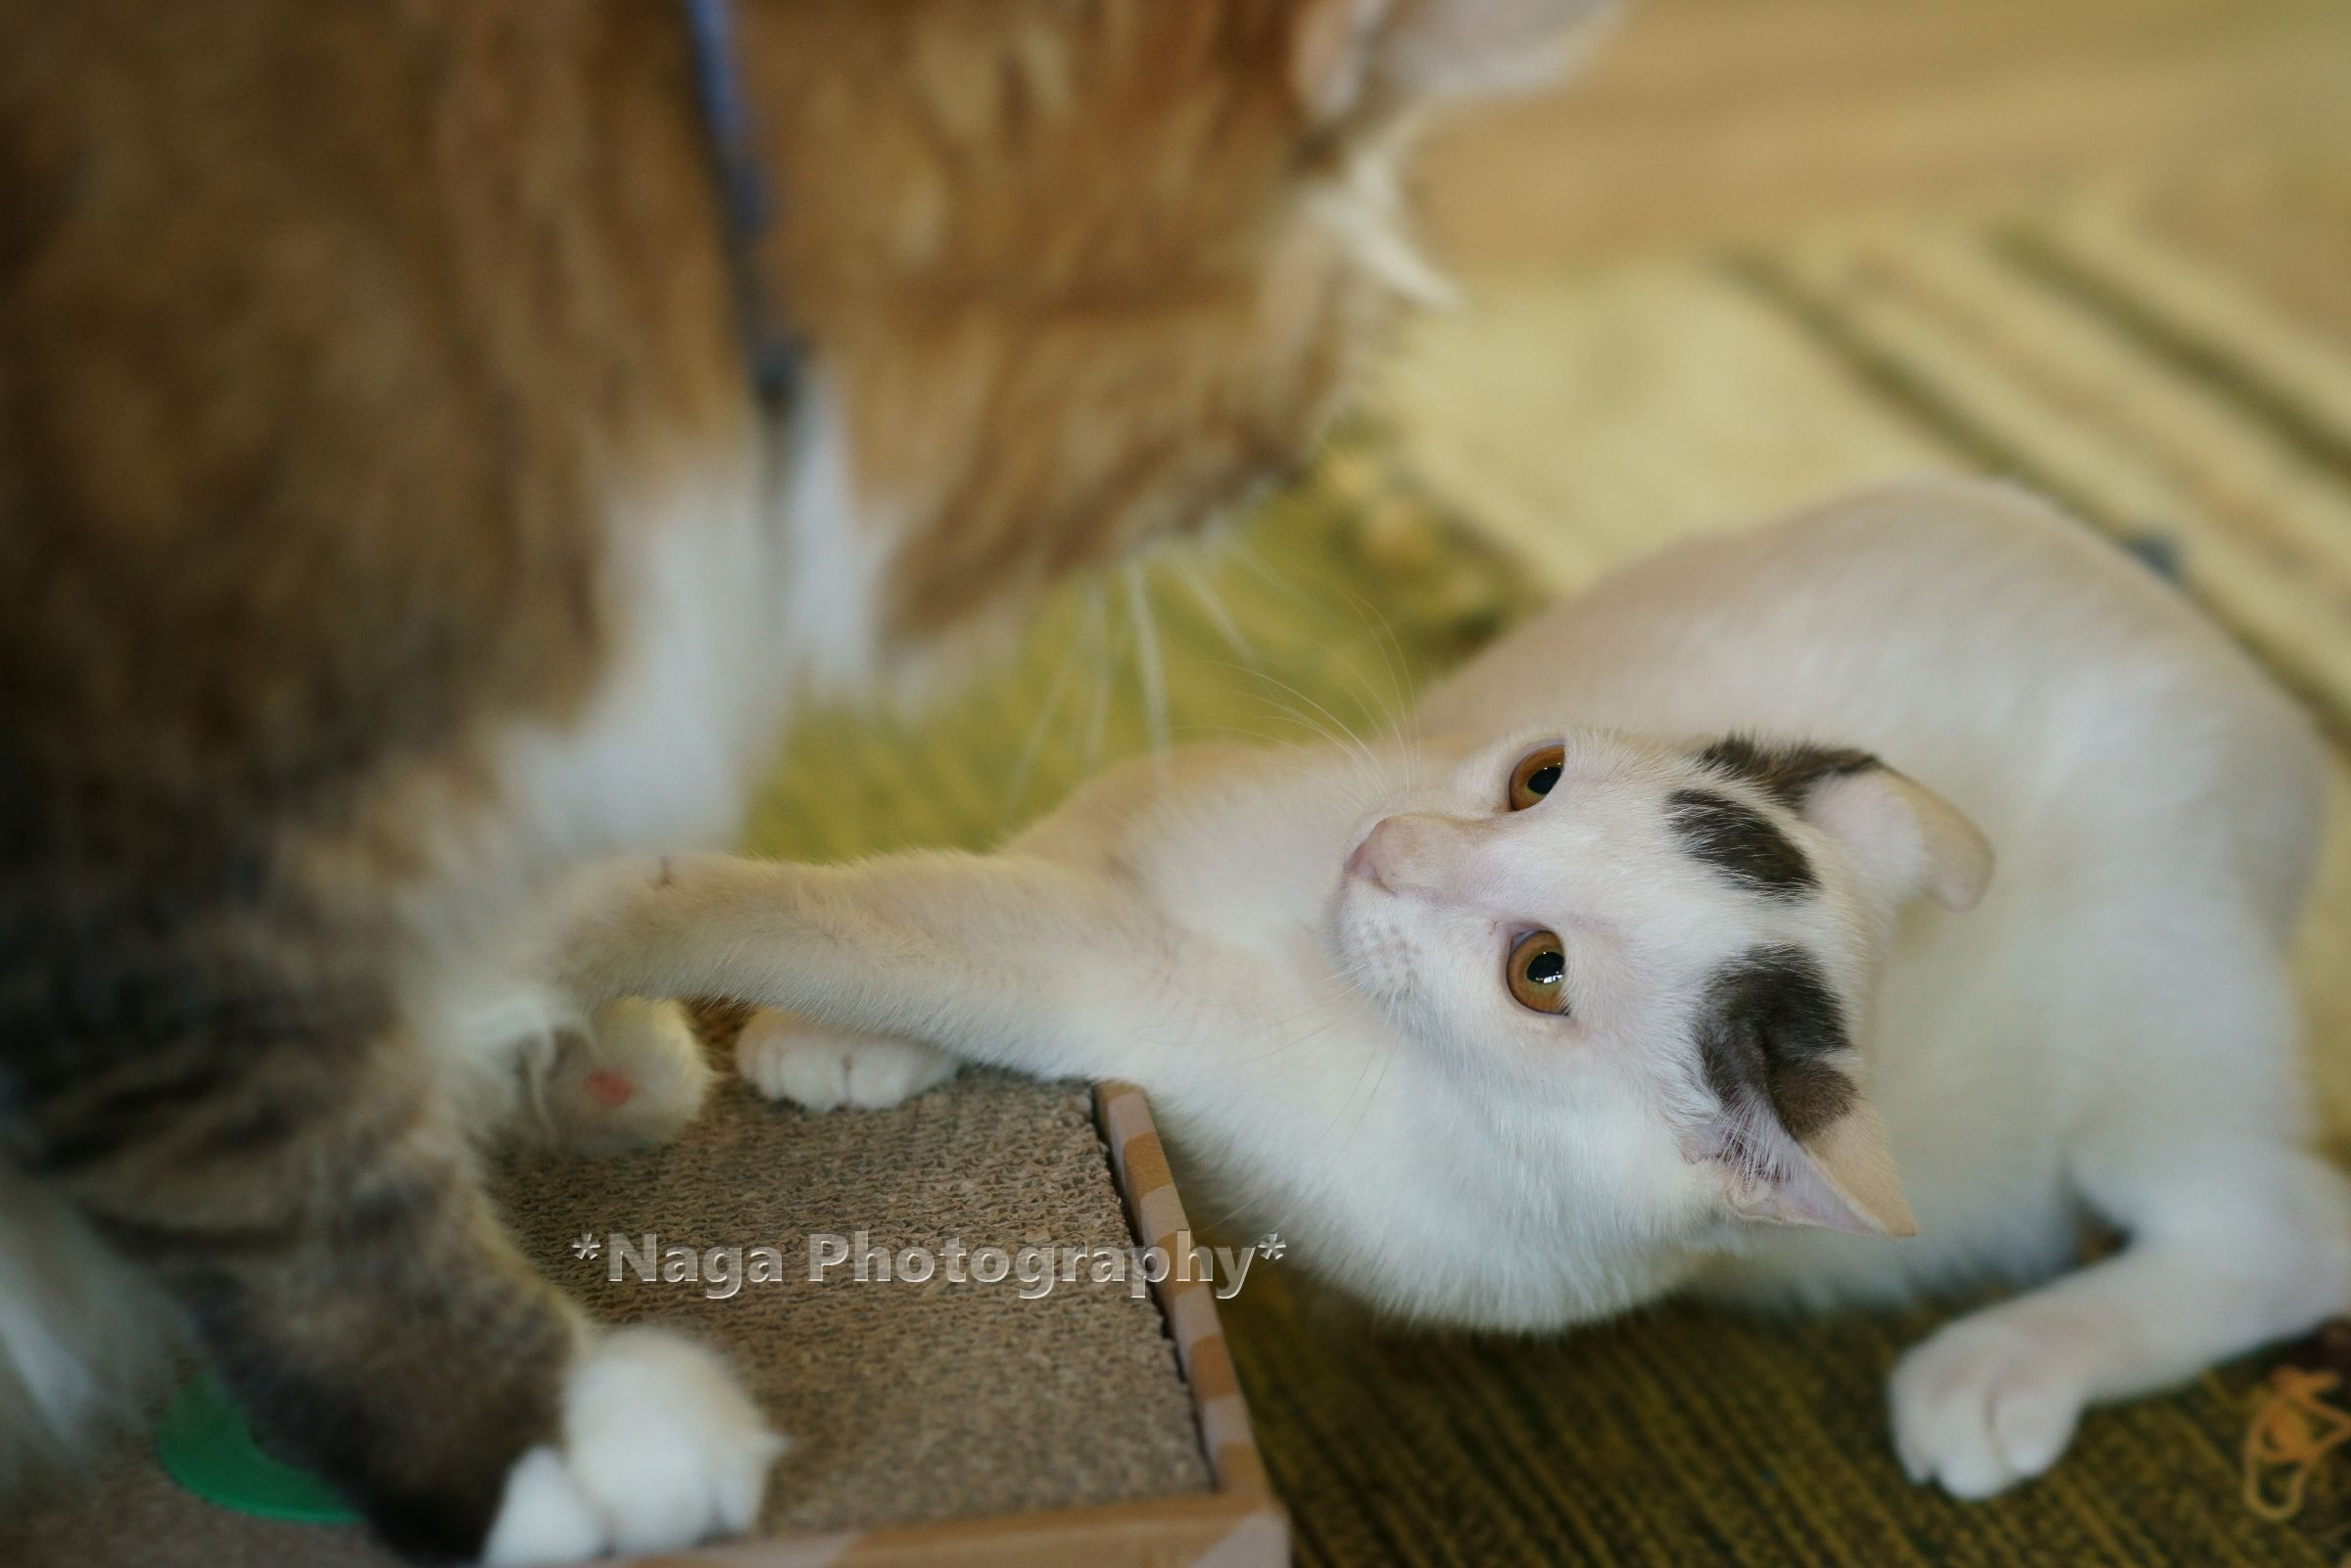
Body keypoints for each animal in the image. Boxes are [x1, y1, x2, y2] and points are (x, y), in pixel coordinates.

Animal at [555, 475, 2351, 1499]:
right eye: (1533, 778)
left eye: (1539, 974)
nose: (1390, 850)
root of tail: (2265, 708)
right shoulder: (1166, 800)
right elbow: (1028, 849)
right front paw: (845, 1044)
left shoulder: (1123, 983)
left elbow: (917, 921)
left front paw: (622, 921)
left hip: (2157, 1041)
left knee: (2288, 1229)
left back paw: (2002, 1369)